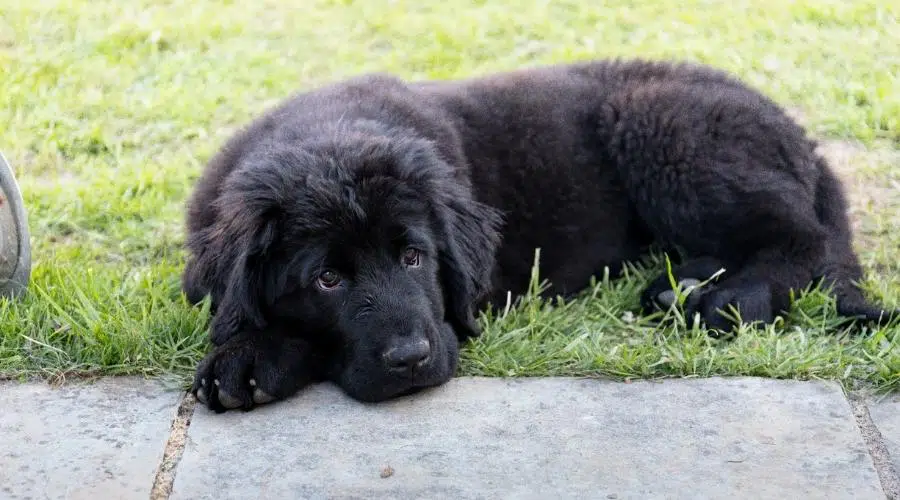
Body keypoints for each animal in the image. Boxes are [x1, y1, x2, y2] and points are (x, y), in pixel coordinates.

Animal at [181, 58, 892, 412]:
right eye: (326, 279)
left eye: (414, 258)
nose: (410, 358)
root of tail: (798, 134)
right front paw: (250, 351)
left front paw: (252, 357)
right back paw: (682, 287)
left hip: (666, 130)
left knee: (802, 241)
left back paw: (720, 301)